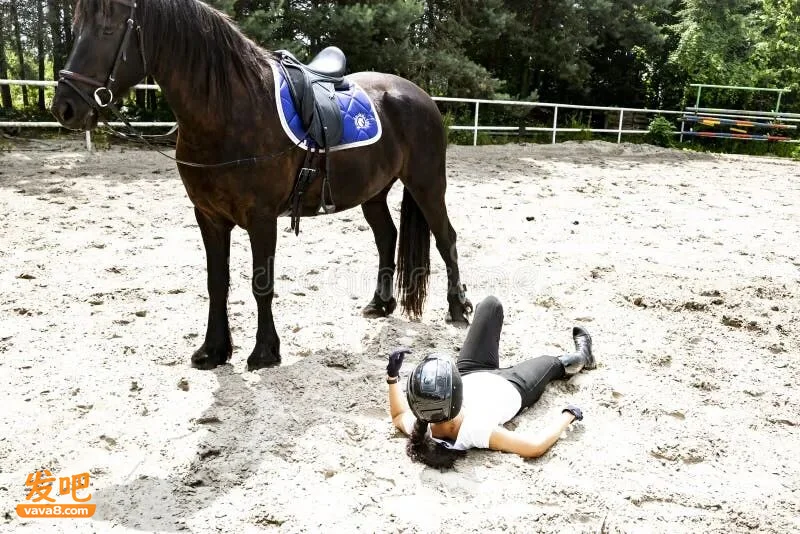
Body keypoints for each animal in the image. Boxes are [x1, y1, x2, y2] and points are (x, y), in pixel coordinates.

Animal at [51, 0, 473, 371]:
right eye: (79, 26)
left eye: (107, 28)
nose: (65, 108)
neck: (228, 111)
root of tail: (419, 94)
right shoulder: (209, 217)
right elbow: (217, 282)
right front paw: (213, 350)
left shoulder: (262, 218)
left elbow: (261, 283)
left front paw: (265, 352)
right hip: (373, 191)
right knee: (387, 237)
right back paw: (380, 304)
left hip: (427, 183)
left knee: (446, 237)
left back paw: (458, 308)